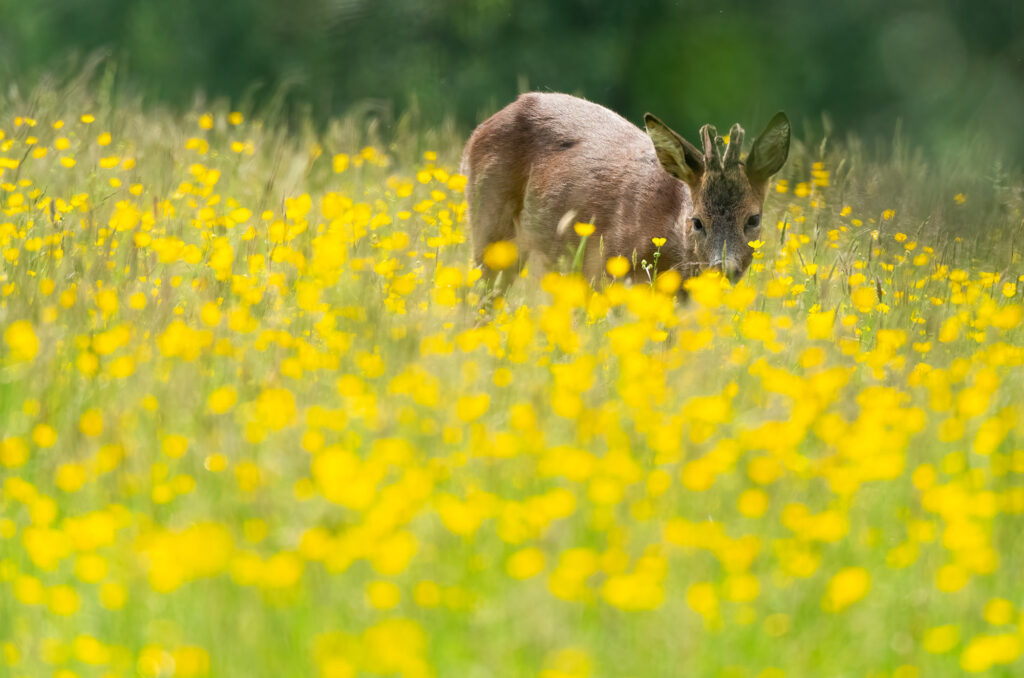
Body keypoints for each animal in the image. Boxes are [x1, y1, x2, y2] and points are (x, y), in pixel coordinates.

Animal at [464, 91, 790, 292]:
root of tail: (476, 133)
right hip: (489, 224)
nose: (724, 268)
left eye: (753, 219)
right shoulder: (605, 270)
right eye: (697, 221)